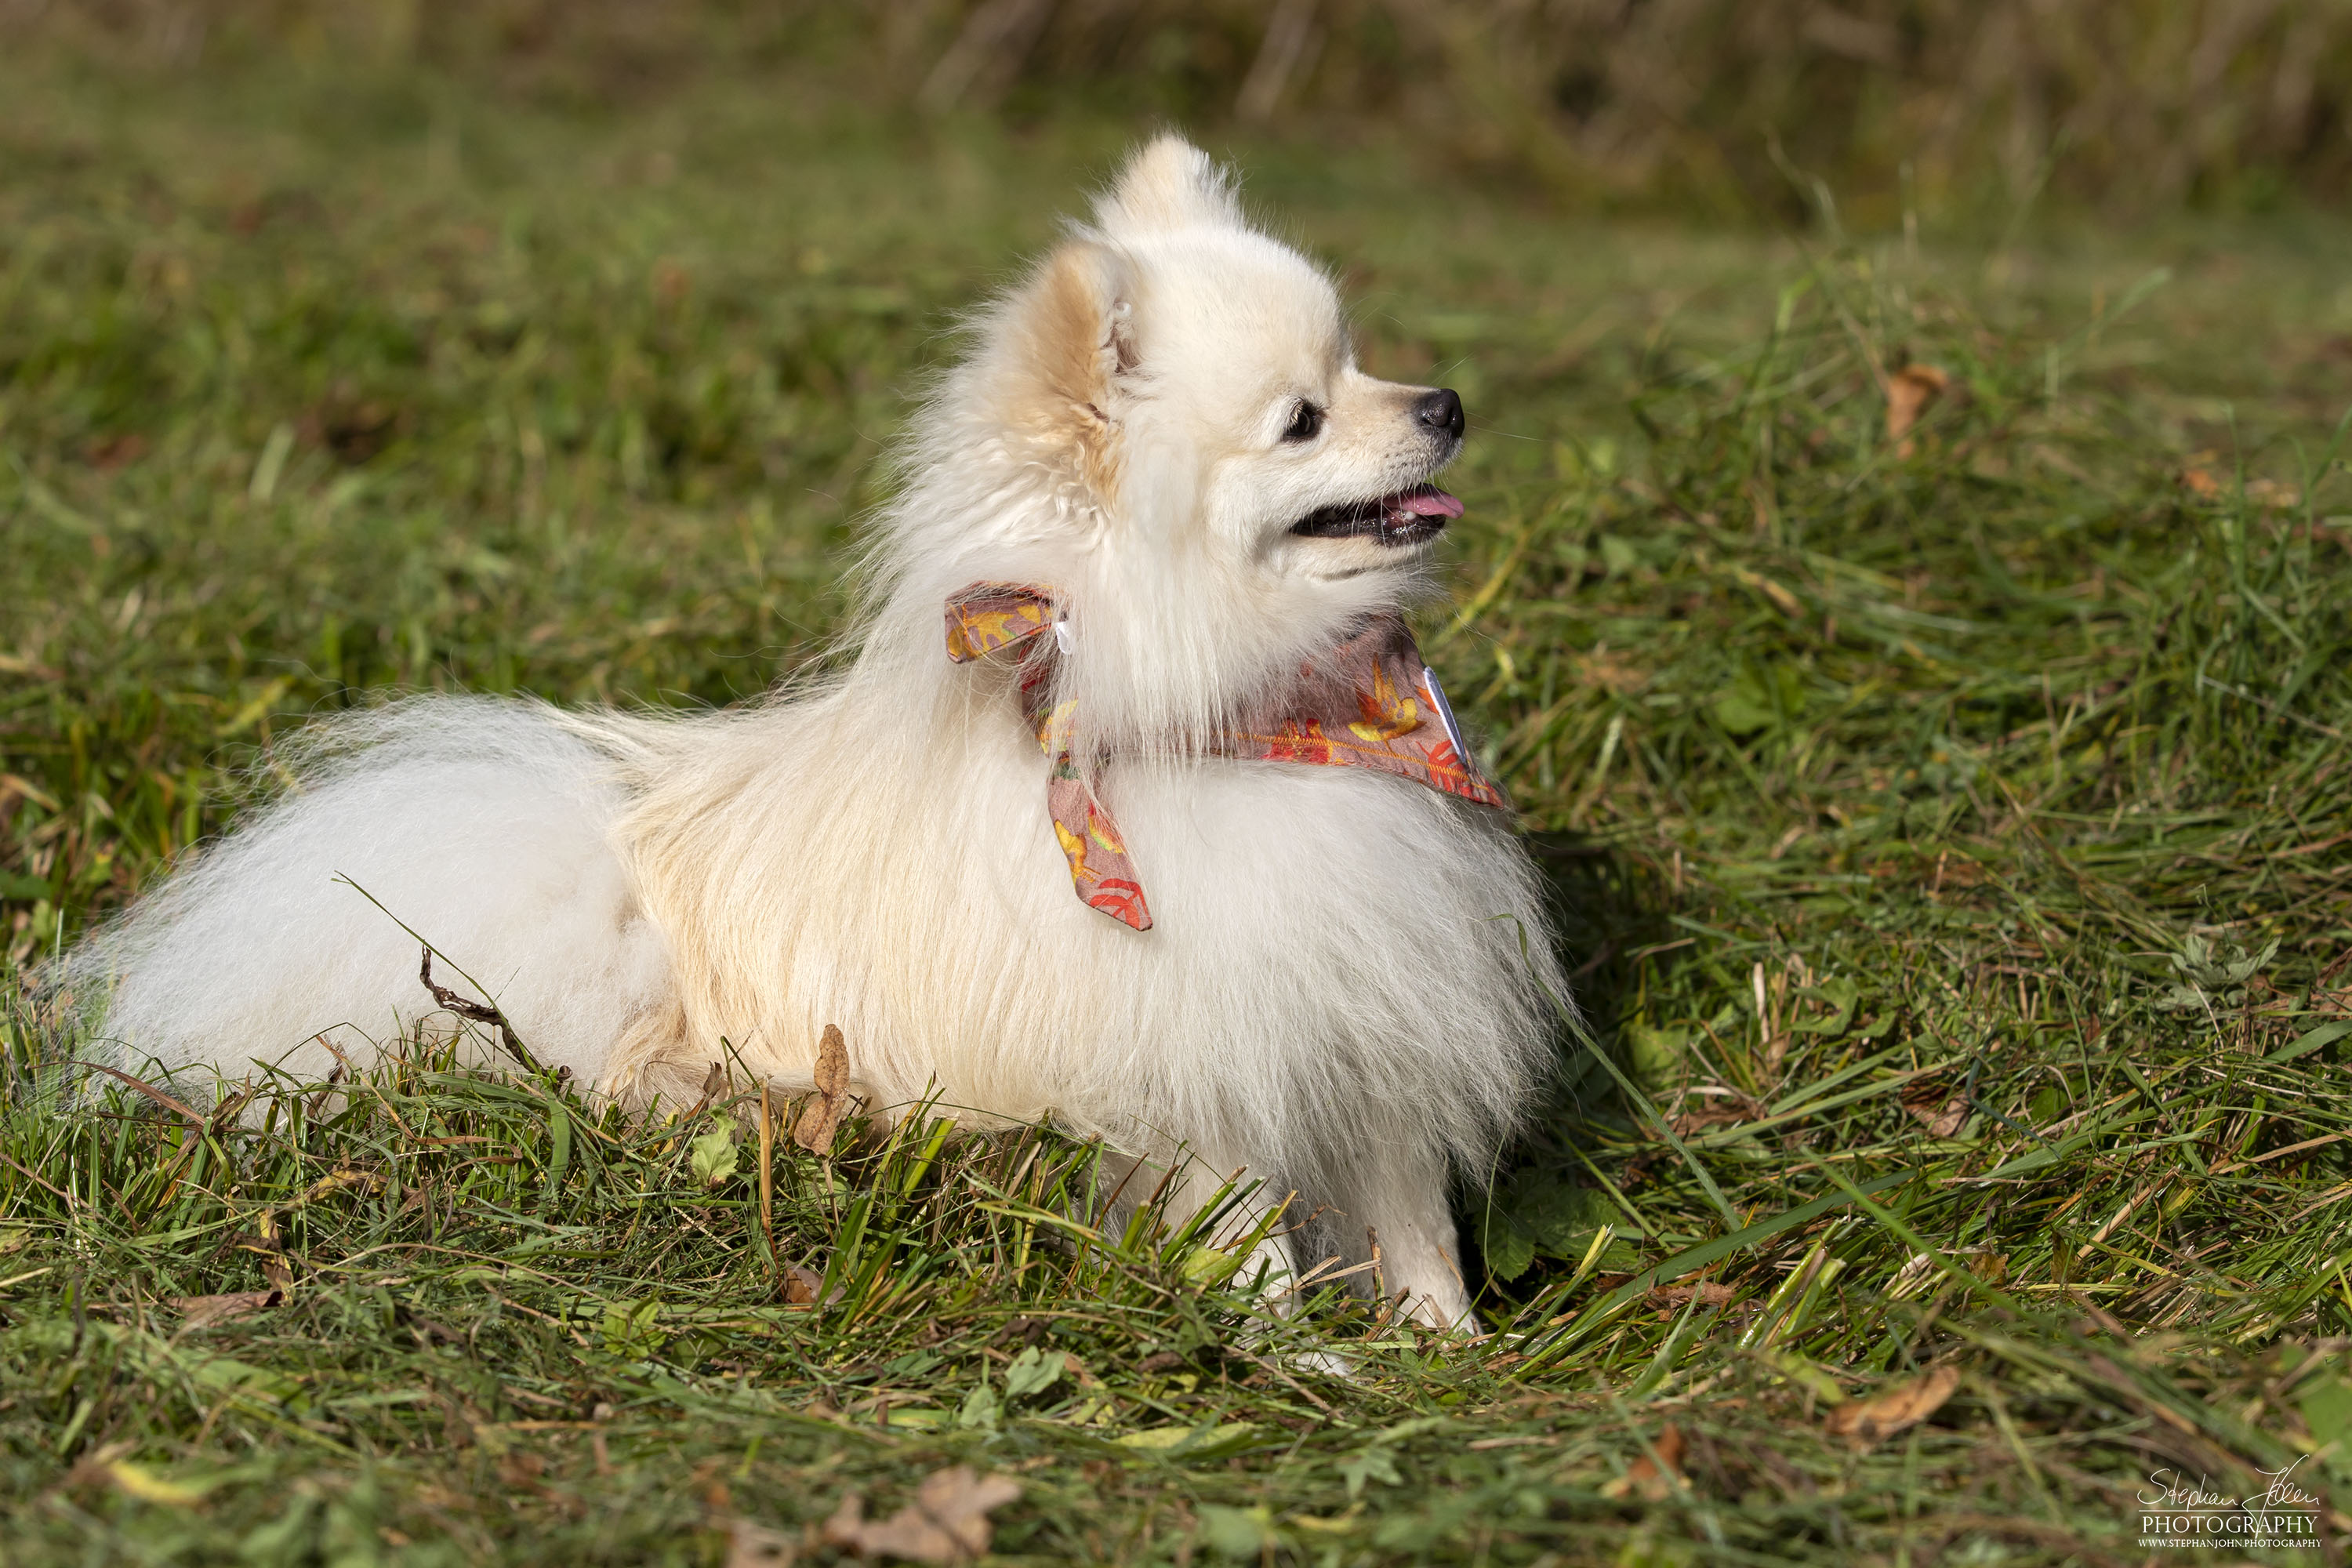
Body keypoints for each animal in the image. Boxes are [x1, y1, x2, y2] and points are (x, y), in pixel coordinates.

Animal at [68, 140, 1562, 1335]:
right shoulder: (1209, 1064)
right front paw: (1301, 1359)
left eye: (1363, 359)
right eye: (1300, 422)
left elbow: (1413, 1214)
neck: (1262, 722)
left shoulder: (1373, 1029)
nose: (1446, 404)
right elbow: (1244, 1236)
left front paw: (1447, 1352)